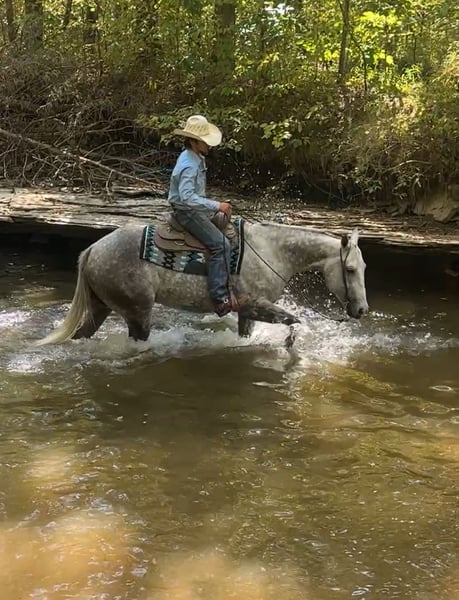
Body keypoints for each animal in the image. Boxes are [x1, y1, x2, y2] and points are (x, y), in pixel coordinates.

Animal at [35, 221, 369, 346]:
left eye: (364, 267)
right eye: (350, 269)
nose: (362, 310)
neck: (273, 251)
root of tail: (93, 249)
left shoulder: (247, 312)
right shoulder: (255, 305)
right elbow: (293, 319)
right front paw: (289, 344)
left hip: (101, 307)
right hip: (137, 312)